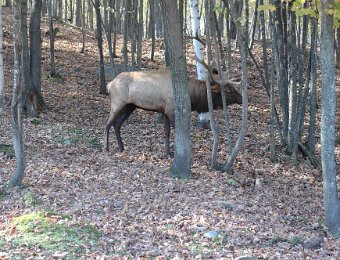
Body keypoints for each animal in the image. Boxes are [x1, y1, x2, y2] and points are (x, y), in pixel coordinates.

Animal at [103, 68, 242, 156]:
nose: (241, 99)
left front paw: (168, 153)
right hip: (117, 103)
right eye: (229, 90)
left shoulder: (164, 111)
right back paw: (106, 148)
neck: (192, 97)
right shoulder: (171, 110)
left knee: (117, 125)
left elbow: (167, 133)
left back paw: (121, 148)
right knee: (107, 124)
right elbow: (176, 132)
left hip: (130, 106)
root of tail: (110, 84)